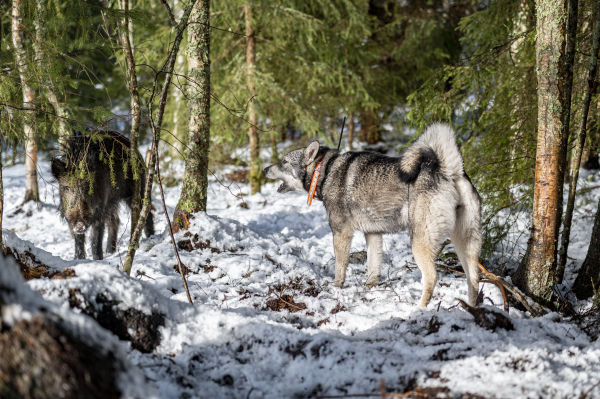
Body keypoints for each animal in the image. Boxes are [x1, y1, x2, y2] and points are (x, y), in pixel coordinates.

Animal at [264, 123, 482, 308]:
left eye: (283, 161)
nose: (265, 168)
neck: (326, 170)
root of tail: (449, 171)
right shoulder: (373, 234)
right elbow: (373, 268)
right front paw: (369, 289)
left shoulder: (341, 233)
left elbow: (340, 267)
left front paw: (336, 288)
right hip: (465, 244)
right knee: (474, 278)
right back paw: (471, 309)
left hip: (420, 243)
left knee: (432, 277)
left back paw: (420, 309)